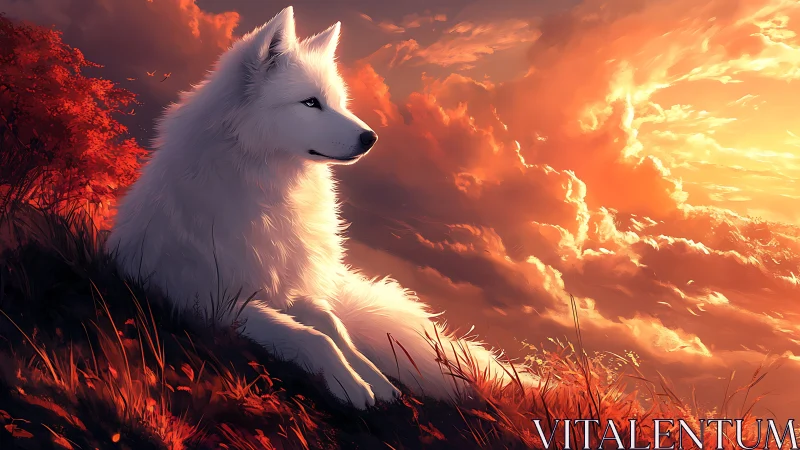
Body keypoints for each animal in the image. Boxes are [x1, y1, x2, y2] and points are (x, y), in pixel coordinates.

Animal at [108, 6, 537, 409]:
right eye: (311, 102)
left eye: (338, 103)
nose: (371, 138)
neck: (275, 189)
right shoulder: (217, 302)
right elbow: (313, 338)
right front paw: (351, 385)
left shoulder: (288, 287)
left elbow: (333, 326)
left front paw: (374, 378)